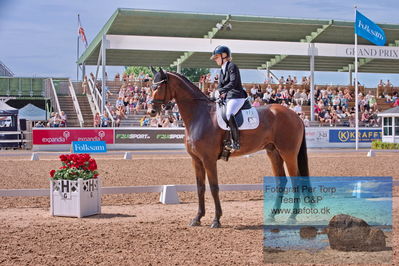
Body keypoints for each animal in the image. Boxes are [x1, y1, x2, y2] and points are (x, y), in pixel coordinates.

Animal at [148, 67, 310, 228]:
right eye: (151, 87)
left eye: (158, 87)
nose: (151, 111)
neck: (199, 115)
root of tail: (296, 116)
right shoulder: (197, 160)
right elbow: (200, 188)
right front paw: (197, 218)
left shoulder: (208, 160)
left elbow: (214, 188)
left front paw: (216, 220)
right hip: (274, 153)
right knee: (281, 181)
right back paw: (272, 215)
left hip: (288, 153)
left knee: (296, 181)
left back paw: (292, 217)